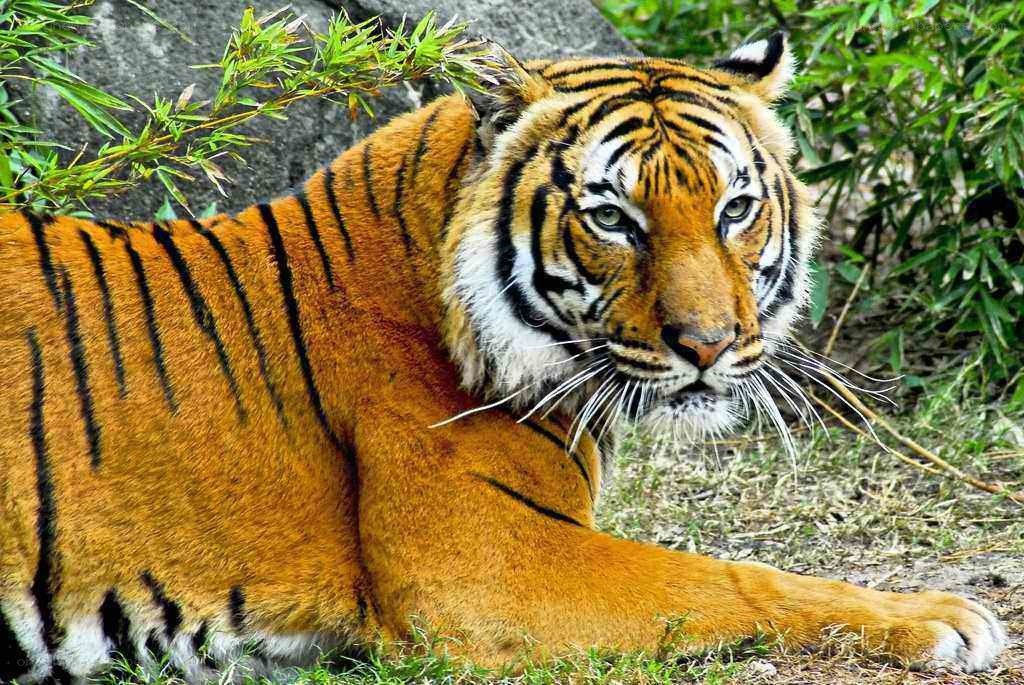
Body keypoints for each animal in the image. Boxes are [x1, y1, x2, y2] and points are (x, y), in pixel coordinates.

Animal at [0, 33, 1007, 683]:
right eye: (613, 217)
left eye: (735, 209)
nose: (709, 345)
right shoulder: (488, 569)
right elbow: (732, 578)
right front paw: (945, 617)